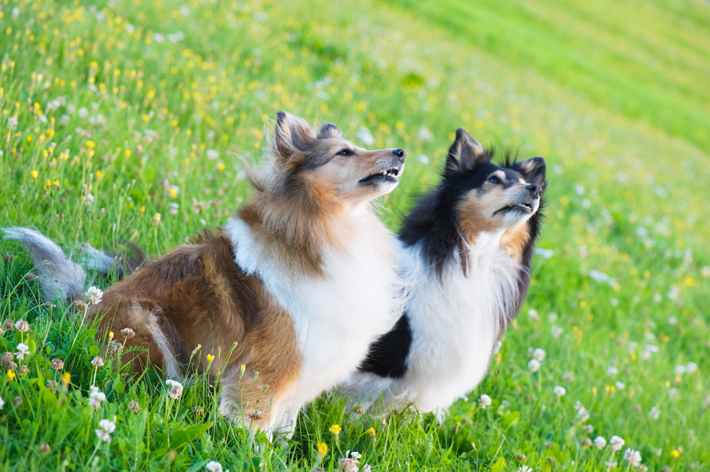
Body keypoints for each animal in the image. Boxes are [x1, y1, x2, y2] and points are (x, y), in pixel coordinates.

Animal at [4, 112, 406, 436]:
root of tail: (80, 308)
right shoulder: (267, 369)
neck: (324, 227)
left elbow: (284, 428)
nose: (401, 152)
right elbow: (256, 426)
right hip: (144, 322)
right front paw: (250, 455)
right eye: (344, 153)